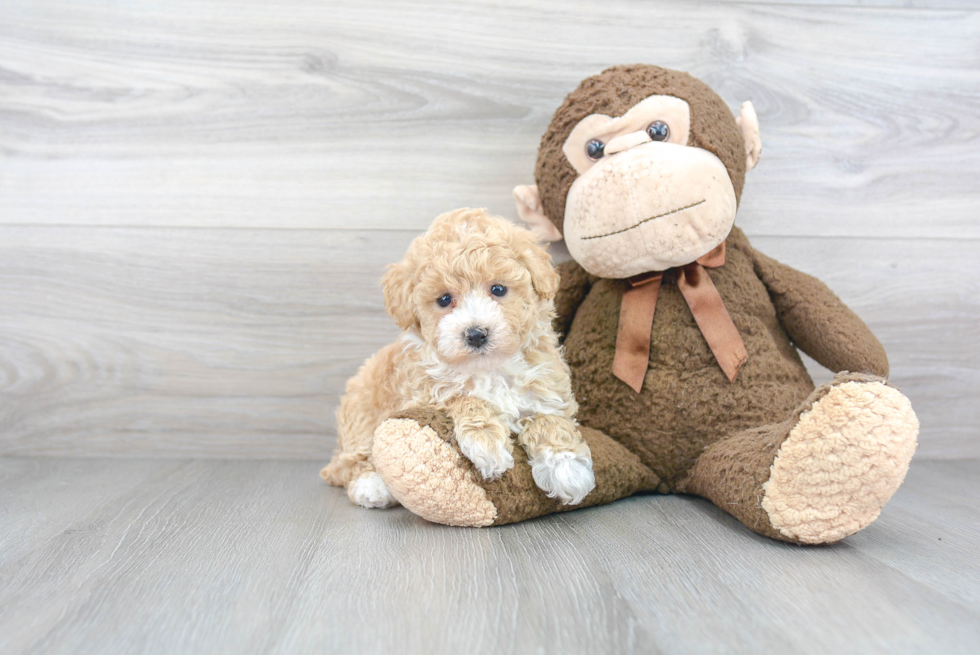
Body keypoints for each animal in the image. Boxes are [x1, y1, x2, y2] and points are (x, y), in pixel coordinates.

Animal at [322, 208, 596, 510]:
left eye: (498, 289)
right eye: (444, 299)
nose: (476, 334)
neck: (488, 369)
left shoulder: (546, 387)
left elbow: (550, 420)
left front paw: (566, 466)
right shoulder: (419, 395)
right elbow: (463, 397)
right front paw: (486, 442)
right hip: (360, 416)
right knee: (348, 462)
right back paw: (371, 485)